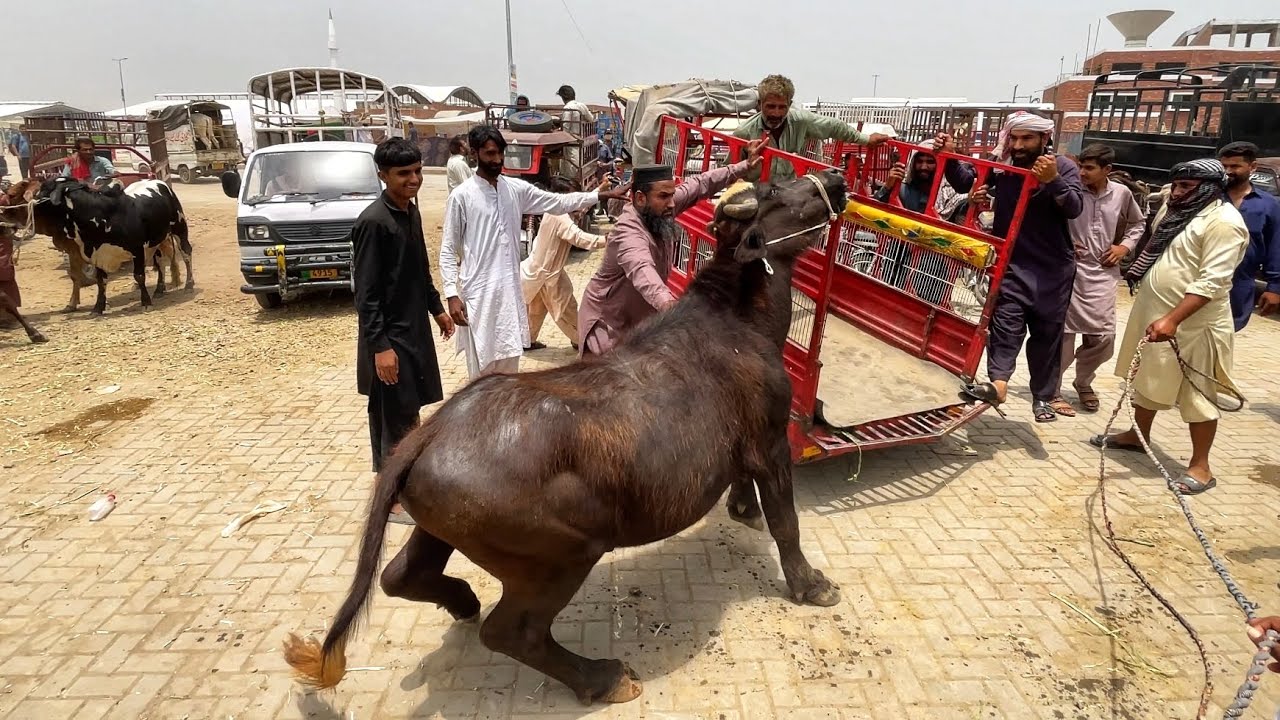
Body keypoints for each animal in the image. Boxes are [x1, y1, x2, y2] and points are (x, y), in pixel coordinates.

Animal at [27, 178, 193, 315]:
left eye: (43, 192)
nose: (30, 204)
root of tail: (159, 181)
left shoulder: (137, 250)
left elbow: (139, 276)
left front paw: (146, 302)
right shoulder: (98, 253)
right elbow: (101, 281)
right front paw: (98, 307)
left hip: (179, 228)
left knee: (186, 254)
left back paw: (189, 285)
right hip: (155, 242)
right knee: (160, 262)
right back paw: (159, 289)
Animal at [283, 169, 849, 704]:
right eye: (776, 190)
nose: (835, 180)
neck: (738, 323)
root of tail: (430, 432)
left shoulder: (750, 448)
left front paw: (742, 508)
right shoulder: (772, 444)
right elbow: (786, 522)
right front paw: (812, 584)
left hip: (439, 529)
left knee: (400, 575)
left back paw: (464, 600)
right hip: (563, 555)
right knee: (513, 631)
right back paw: (602, 677)